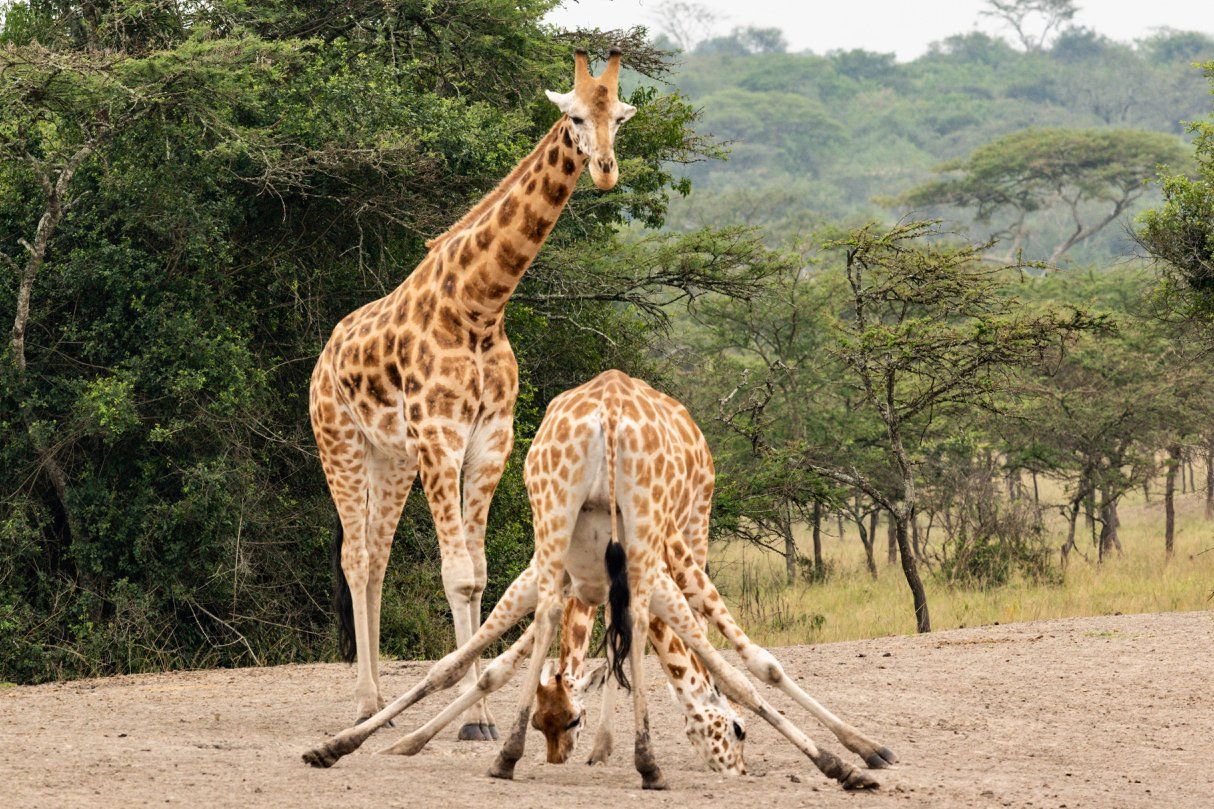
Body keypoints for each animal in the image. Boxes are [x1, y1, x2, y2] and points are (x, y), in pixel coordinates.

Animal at [302, 371, 894, 791]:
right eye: (737, 733)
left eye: (568, 723)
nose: (739, 768)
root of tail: (608, 412)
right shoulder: (619, 573)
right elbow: (475, 667)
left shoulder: (598, 573)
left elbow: (746, 667)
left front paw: (860, 754)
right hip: (643, 539)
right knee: (625, 630)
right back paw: (627, 760)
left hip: (596, 529)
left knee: (613, 631)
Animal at [308, 49, 637, 738]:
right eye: (573, 115)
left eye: (618, 117)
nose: (604, 171)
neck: (480, 307)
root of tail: (324, 357)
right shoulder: (441, 437)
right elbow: (458, 577)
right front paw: (471, 714)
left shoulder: (490, 440)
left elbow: (482, 577)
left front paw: (475, 709)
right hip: (340, 444)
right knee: (355, 557)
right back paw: (365, 702)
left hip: (391, 457)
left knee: (376, 555)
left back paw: (379, 699)